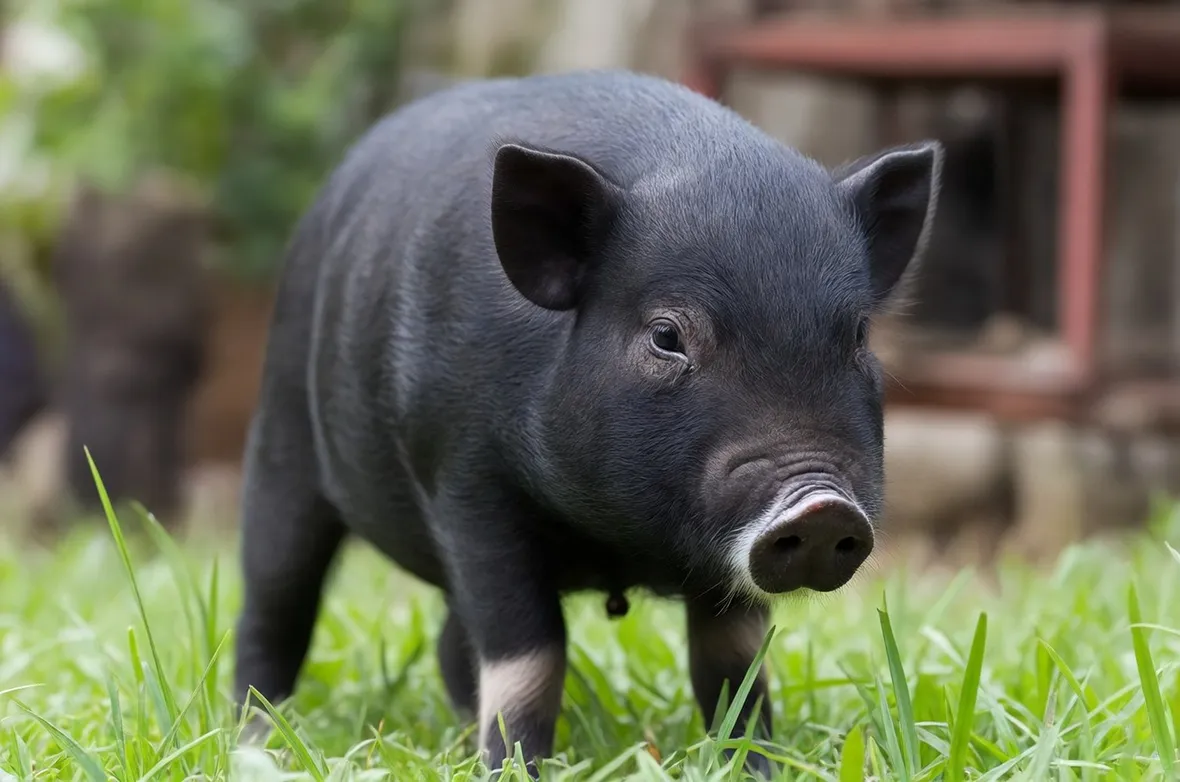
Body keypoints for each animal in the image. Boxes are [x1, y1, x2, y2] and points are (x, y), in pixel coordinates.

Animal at [232, 69, 942, 775]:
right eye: (666, 336)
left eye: (857, 336)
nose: (822, 506)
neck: (617, 542)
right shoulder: (465, 481)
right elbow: (530, 655)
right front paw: (513, 769)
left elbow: (733, 663)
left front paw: (757, 765)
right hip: (281, 437)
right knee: (274, 601)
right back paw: (254, 740)